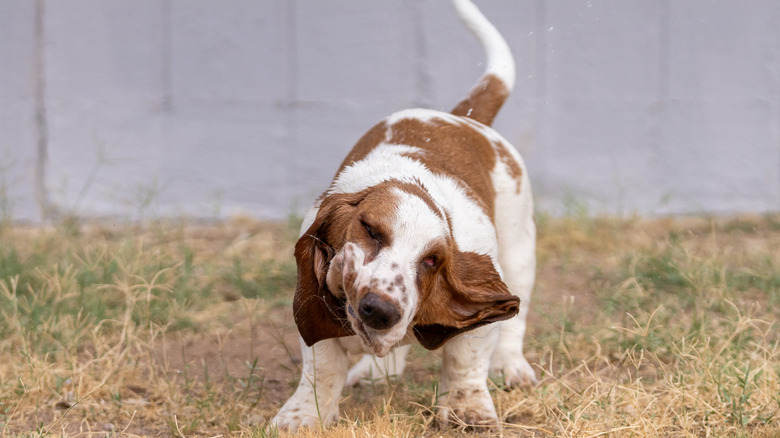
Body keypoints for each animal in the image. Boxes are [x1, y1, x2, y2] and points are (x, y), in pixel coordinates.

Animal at [270, 0, 536, 432]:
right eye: (369, 229)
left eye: (432, 261)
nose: (379, 310)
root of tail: (462, 117)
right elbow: (322, 367)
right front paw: (302, 417)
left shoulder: (482, 293)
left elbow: (466, 361)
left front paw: (469, 413)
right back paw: (377, 372)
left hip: (519, 248)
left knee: (516, 319)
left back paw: (511, 366)